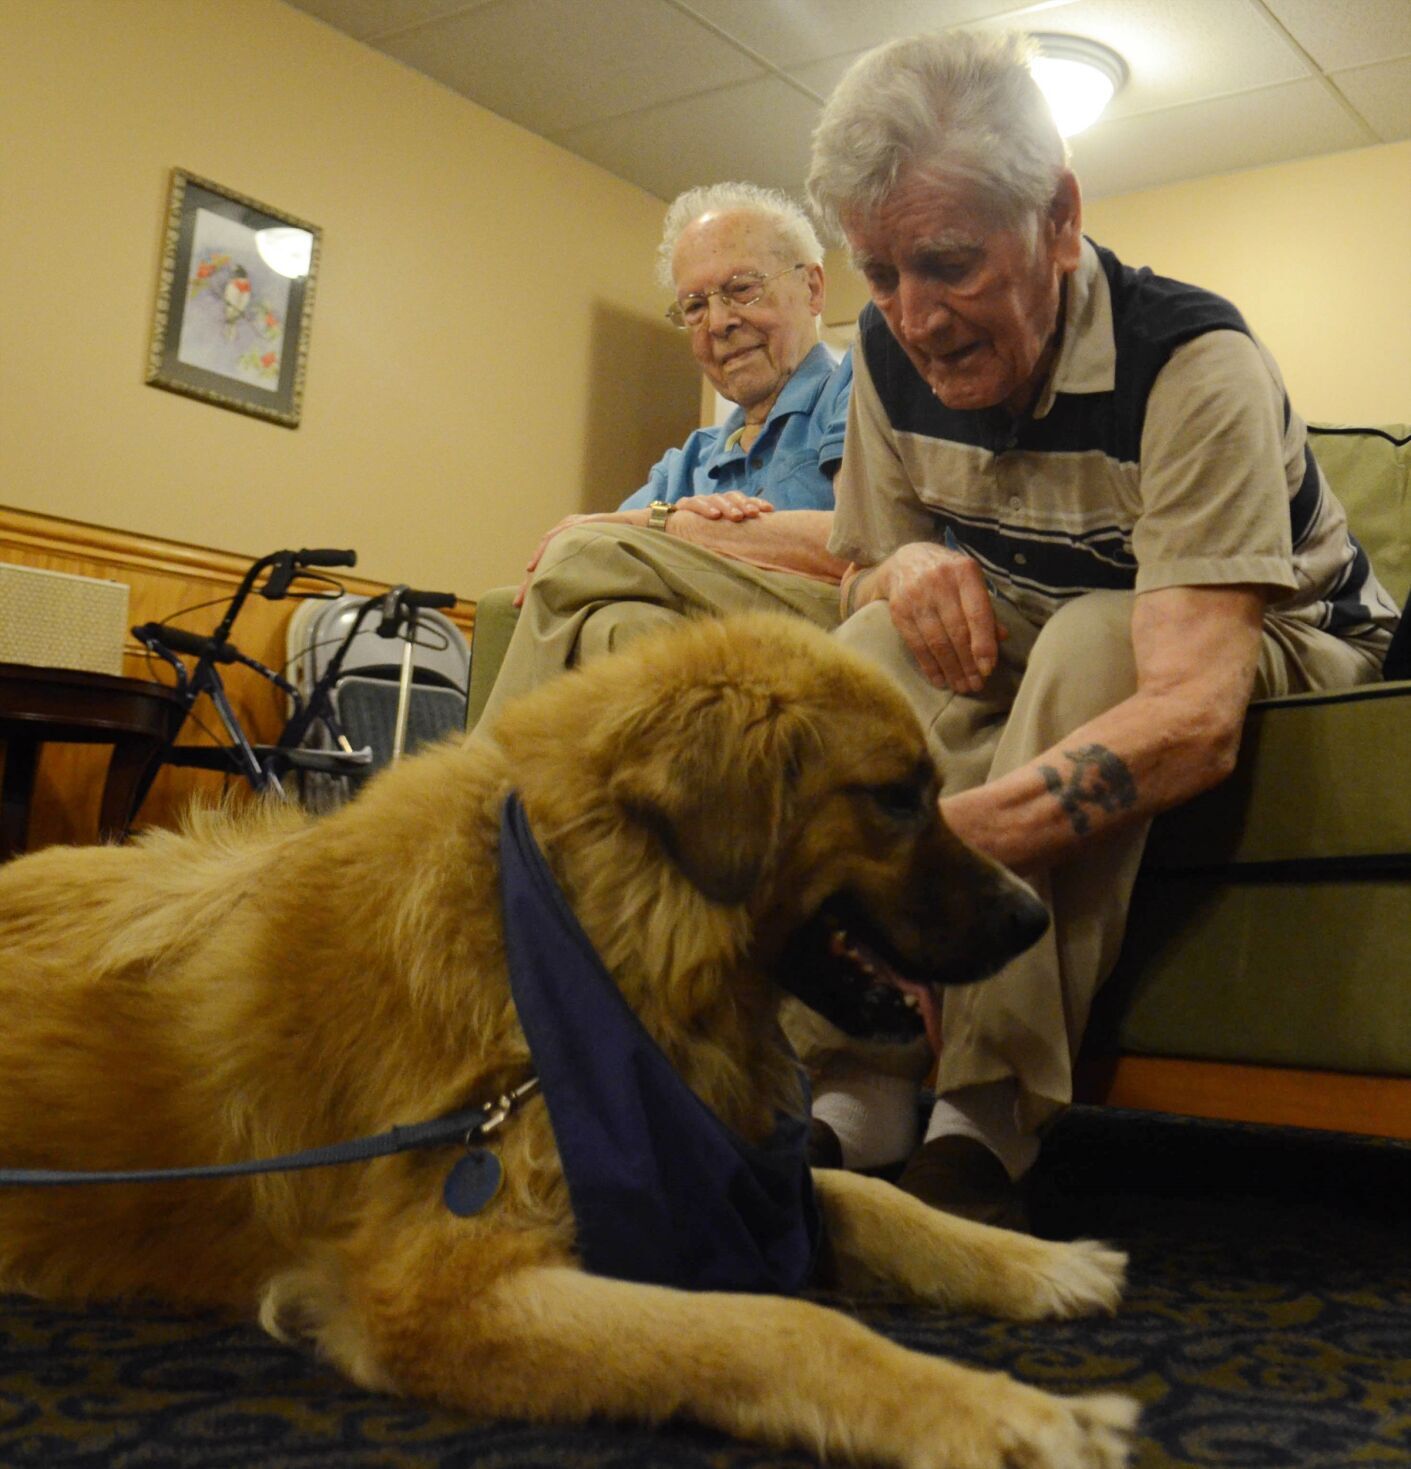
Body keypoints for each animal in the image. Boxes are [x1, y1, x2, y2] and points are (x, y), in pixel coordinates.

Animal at [0, 611, 1133, 1469]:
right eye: (896, 798)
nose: (1033, 913)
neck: (590, 928)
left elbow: (867, 1192)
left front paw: (1036, 1260)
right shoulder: (441, 1293)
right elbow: (777, 1321)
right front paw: (995, 1410)